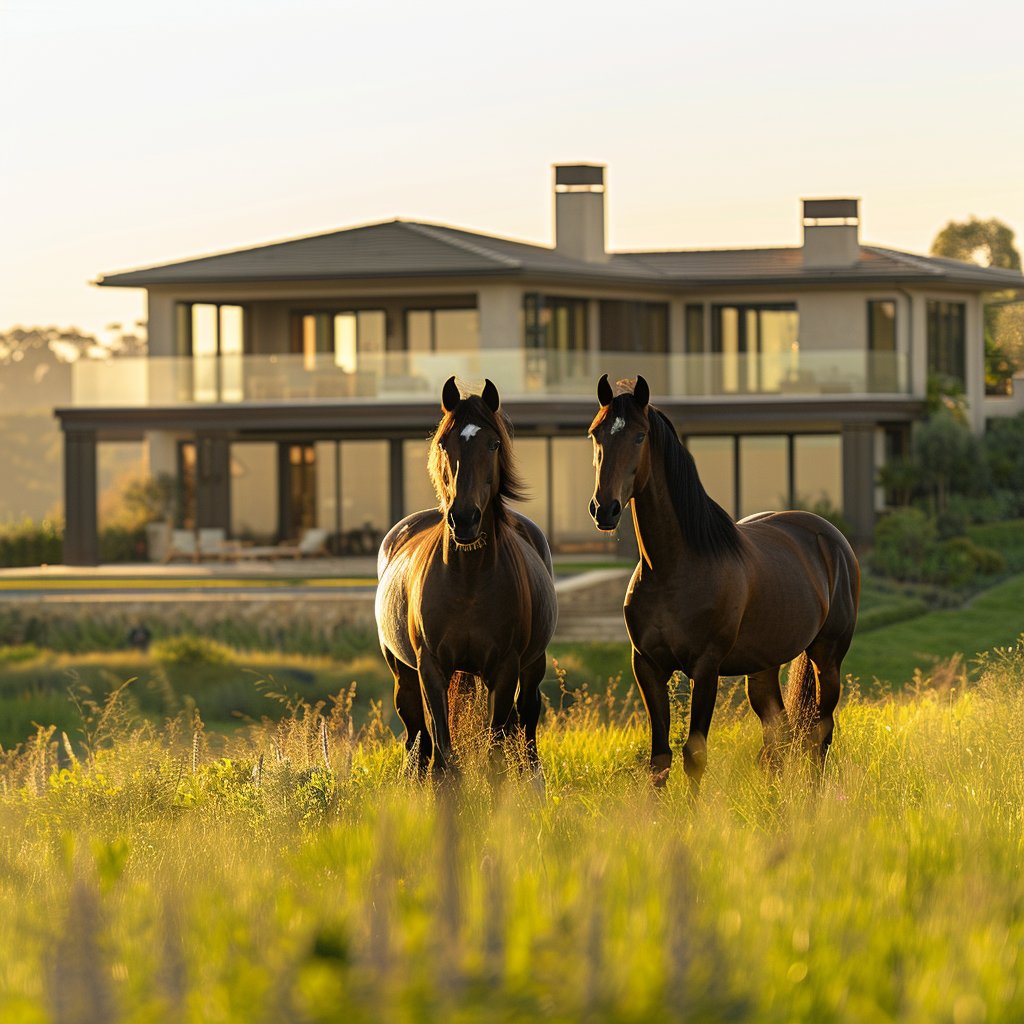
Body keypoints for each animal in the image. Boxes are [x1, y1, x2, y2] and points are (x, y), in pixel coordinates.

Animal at [375, 376, 558, 777]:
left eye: (493, 443)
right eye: (445, 442)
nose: (464, 519)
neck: (468, 581)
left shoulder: (505, 670)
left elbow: (495, 754)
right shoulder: (430, 669)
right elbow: (443, 755)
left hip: (532, 666)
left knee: (527, 729)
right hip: (403, 674)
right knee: (417, 741)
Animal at [587, 373, 860, 792]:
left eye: (639, 435)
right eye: (595, 434)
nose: (604, 509)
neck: (673, 568)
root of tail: (831, 538)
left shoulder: (706, 667)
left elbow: (694, 755)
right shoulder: (647, 666)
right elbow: (659, 758)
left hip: (827, 658)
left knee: (820, 734)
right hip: (763, 668)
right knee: (778, 738)